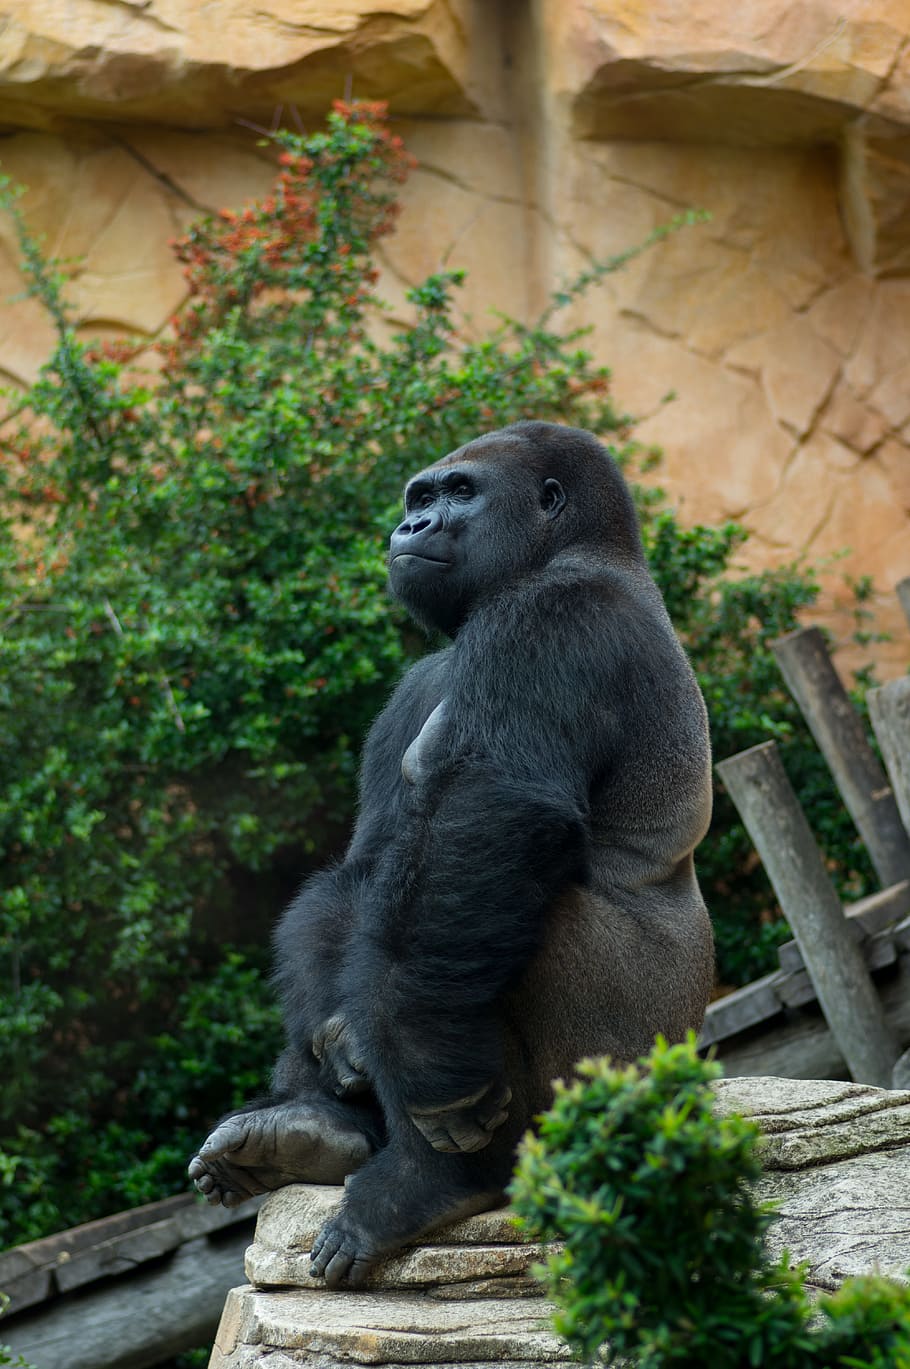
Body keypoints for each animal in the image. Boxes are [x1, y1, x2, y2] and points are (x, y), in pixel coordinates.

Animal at [187, 421, 711, 1286]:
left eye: (461, 492)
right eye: (421, 496)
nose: (412, 526)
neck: (581, 553)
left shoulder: (553, 616)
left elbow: (493, 809)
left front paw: (423, 1068)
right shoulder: (421, 677)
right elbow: (363, 869)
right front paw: (335, 1040)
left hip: (633, 1083)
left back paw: (433, 1179)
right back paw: (307, 1132)